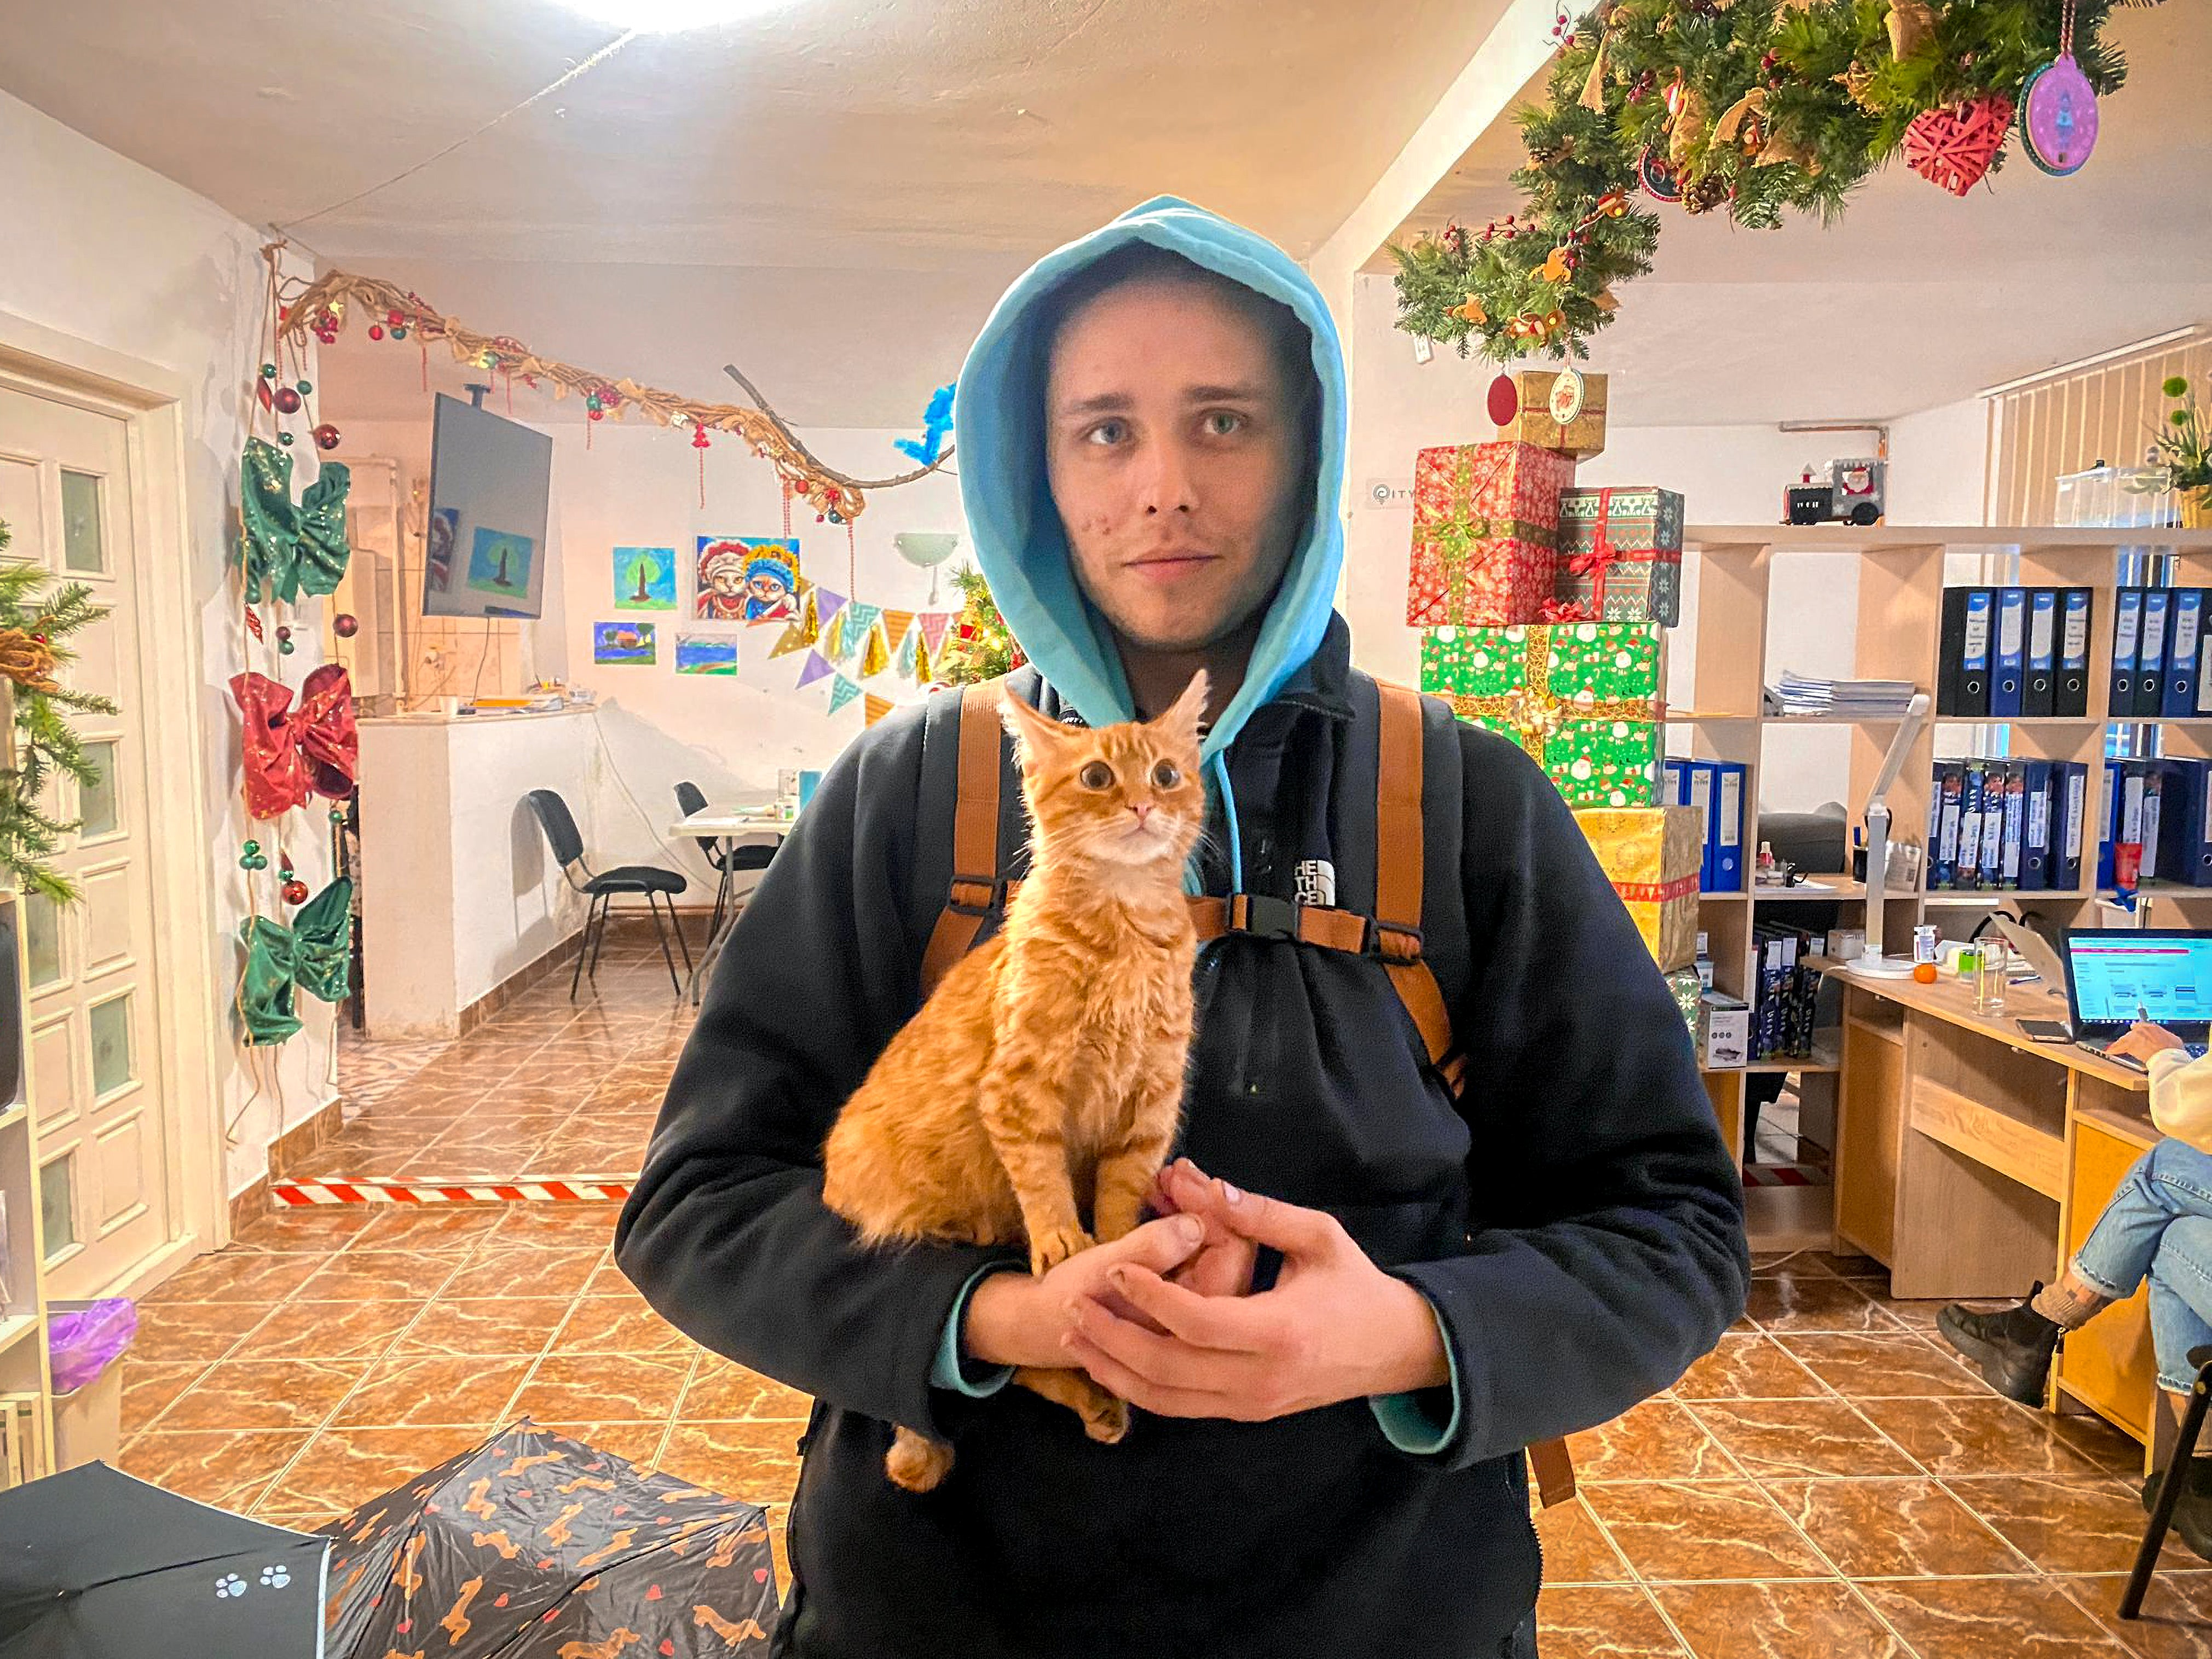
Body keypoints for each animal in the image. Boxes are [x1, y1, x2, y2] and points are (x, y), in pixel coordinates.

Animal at [827, 672, 1212, 1495]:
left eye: (1167, 773)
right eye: (1097, 777)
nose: (1144, 804)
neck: (1126, 931)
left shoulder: (1151, 1105)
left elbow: (1124, 1189)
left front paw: (1118, 1240)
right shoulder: (1019, 1089)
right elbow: (1040, 1173)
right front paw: (1066, 1239)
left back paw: (1097, 1399)